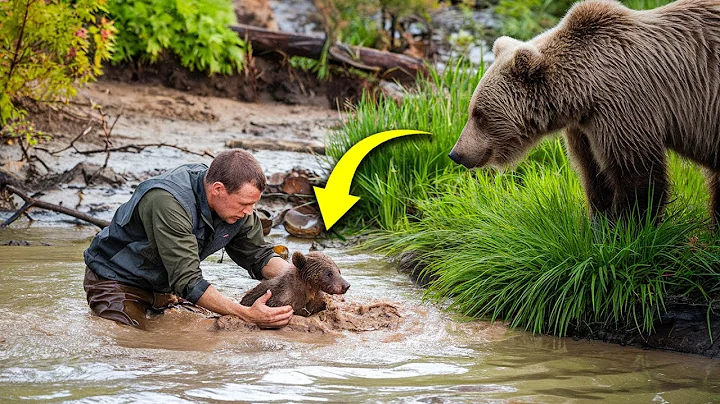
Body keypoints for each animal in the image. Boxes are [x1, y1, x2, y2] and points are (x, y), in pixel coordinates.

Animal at [448, 0, 720, 225]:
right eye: (472, 110)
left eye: (479, 114)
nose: (456, 154)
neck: (581, 95)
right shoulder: (585, 127)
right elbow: (594, 173)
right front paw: (599, 223)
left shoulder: (626, 107)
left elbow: (637, 176)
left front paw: (628, 228)